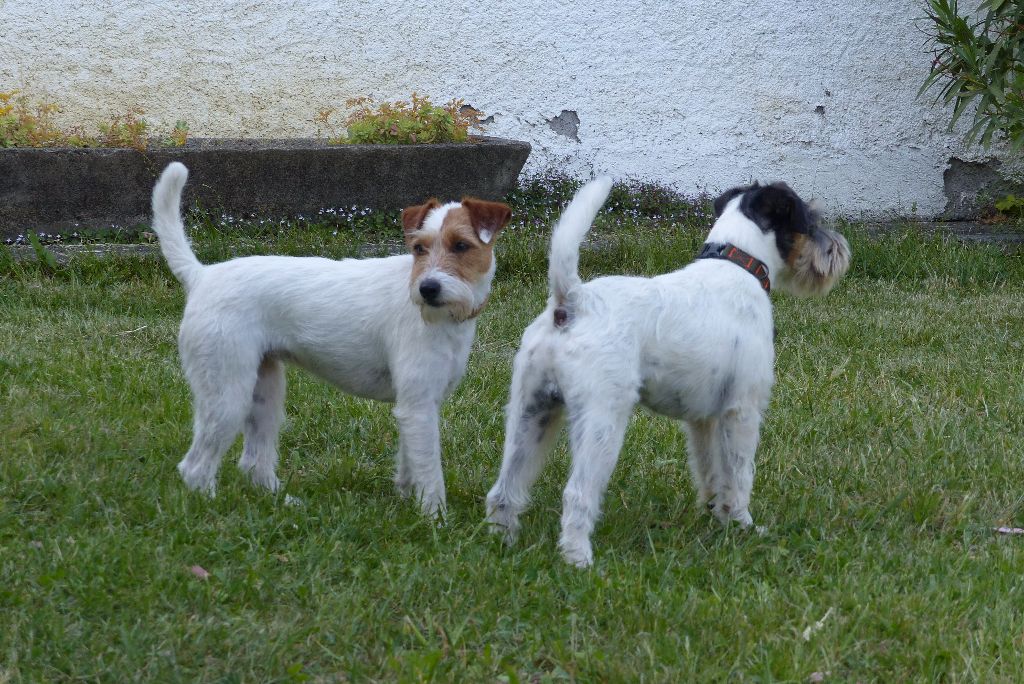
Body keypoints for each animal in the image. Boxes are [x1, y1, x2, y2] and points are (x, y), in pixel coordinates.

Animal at [150, 160, 512, 516]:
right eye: (419, 248)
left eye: (461, 246)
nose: (428, 289)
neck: (445, 320)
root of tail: (202, 275)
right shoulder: (419, 406)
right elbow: (430, 474)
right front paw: (435, 520)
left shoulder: (419, 404)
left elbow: (411, 464)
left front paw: (406, 500)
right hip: (226, 395)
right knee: (195, 467)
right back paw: (212, 509)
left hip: (264, 393)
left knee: (253, 462)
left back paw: (281, 502)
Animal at [483, 176, 851, 565]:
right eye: (809, 220)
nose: (839, 250)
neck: (738, 264)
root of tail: (571, 303)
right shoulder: (742, 411)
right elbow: (738, 475)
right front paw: (743, 525)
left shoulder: (704, 419)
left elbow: (711, 471)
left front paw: (717, 516)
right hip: (602, 422)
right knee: (578, 493)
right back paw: (579, 558)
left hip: (530, 412)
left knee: (503, 489)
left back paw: (502, 541)